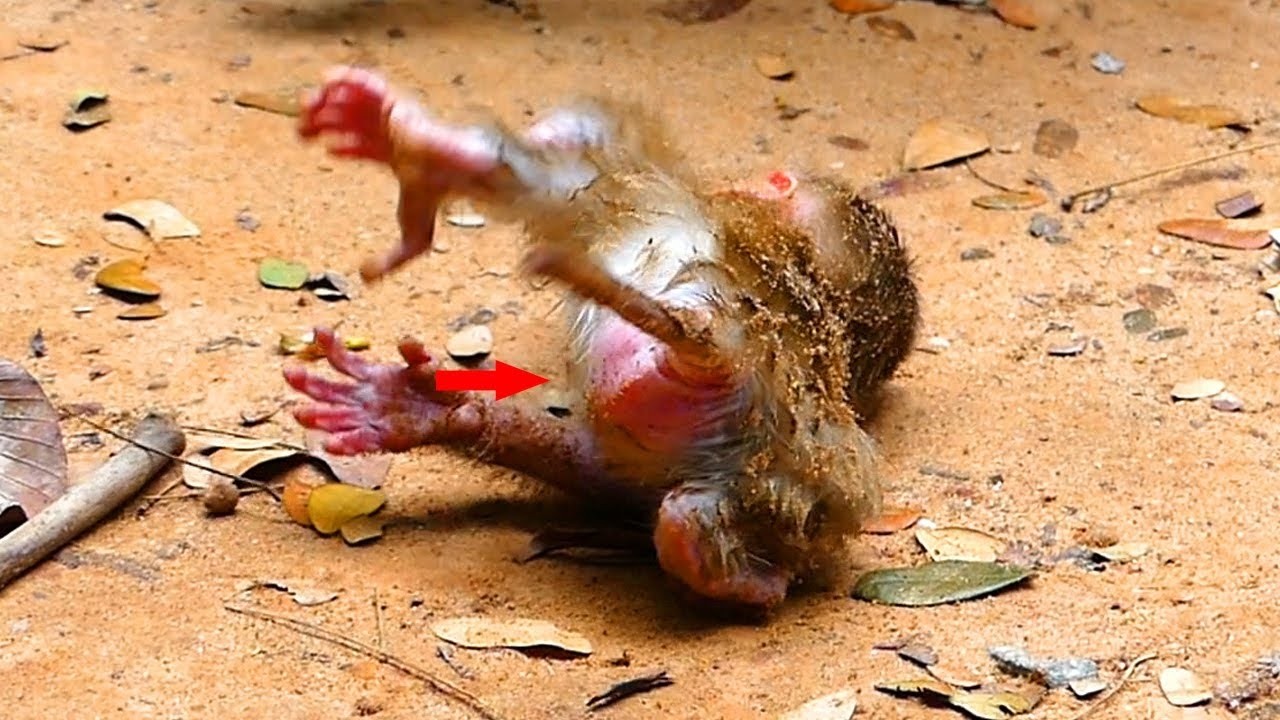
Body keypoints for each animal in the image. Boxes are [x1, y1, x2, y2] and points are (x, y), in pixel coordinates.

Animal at [284, 66, 919, 615]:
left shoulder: (649, 191)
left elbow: (580, 155)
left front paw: (430, 147)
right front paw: (430, 410)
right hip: (749, 484)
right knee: (672, 503)